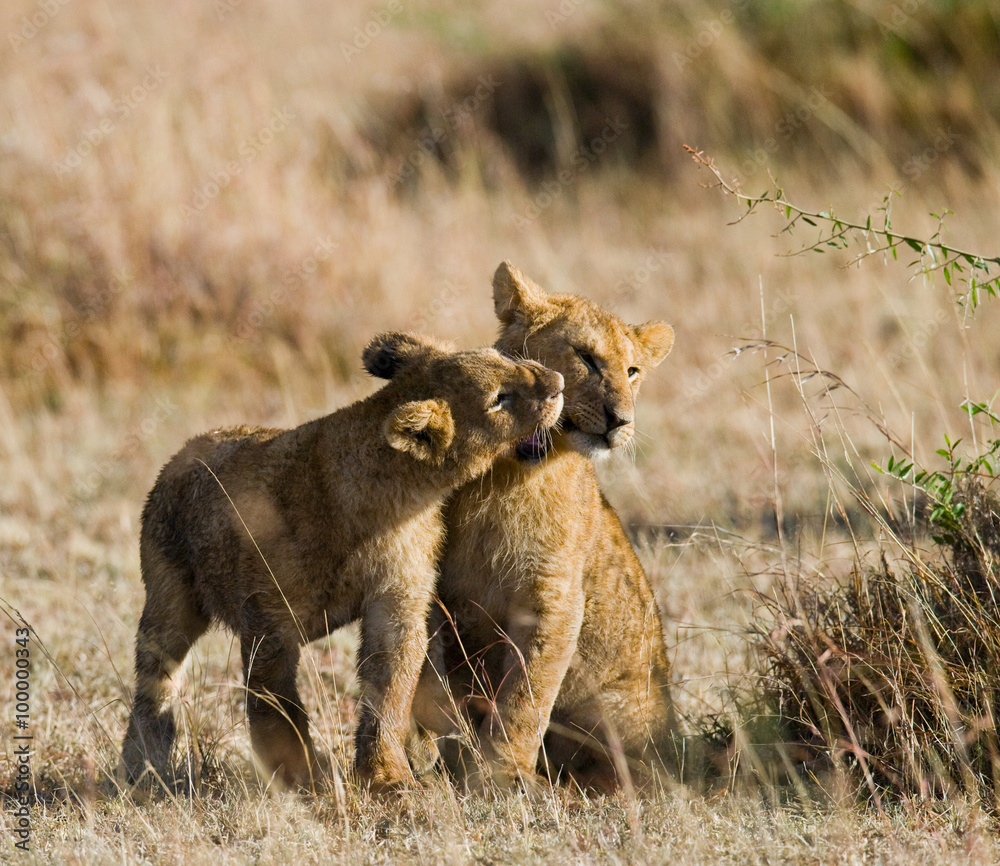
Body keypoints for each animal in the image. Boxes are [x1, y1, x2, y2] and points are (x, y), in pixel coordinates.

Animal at [121, 332, 564, 793]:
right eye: (500, 399)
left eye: (502, 357)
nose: (558, 382)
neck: (388, 497)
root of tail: (186, 448)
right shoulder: (268, 619)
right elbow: (275, 705)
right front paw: (299, 774)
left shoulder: (397, 598)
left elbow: (389, 690)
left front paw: (387, 777)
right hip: (169, 598)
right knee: (156, 679)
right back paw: (143, 767)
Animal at [409, 262, 676, 792]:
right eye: (587, 358)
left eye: (633, 371)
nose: (621, 421)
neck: (511, 467)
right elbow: (427, 669)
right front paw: (425, 744)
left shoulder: (553, 597)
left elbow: (526, 694)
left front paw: (502, 774)